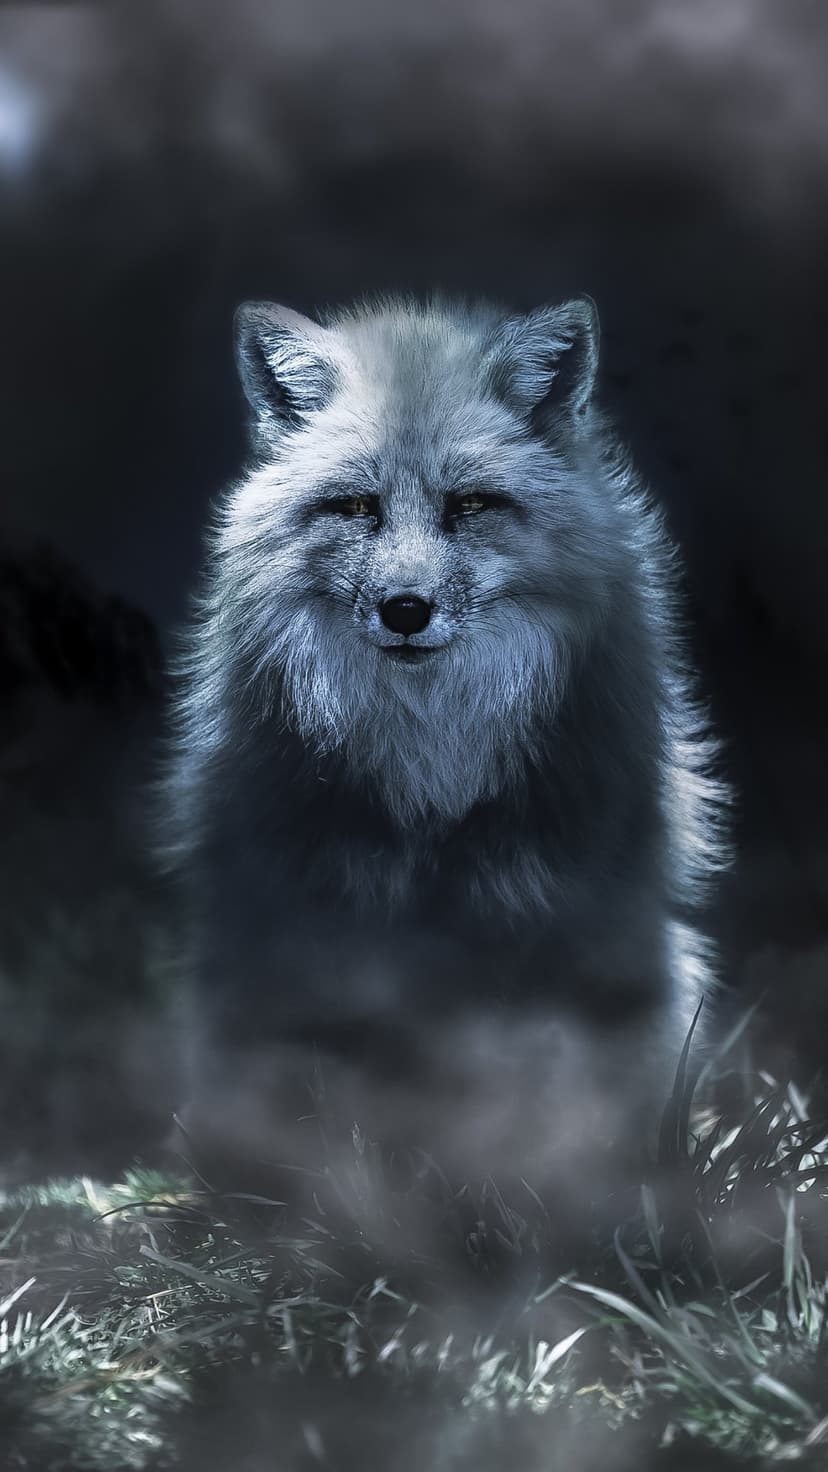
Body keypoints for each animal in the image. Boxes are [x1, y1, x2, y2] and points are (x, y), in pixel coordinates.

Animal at [160, 293, 728, 1184]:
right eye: (357, 507)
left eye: (470, 505)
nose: (405, 610)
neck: (431, 764)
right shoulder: (319, 903)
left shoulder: (557, 905)